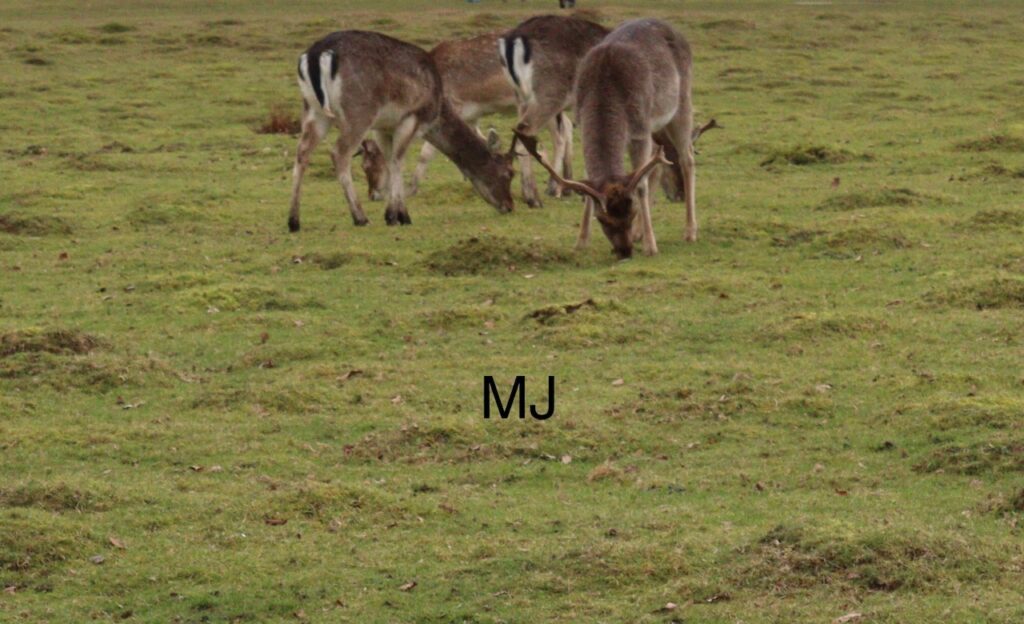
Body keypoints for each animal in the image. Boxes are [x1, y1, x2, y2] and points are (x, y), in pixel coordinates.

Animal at [288, 30, 514, 232]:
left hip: (314, 111)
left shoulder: (383, 126)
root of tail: (316, 54)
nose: (509, 206)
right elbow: (398, 160)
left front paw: (393, 214)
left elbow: (390, 161)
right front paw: (400, 215)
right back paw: (360, 217)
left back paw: (294, 221)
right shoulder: (411, 117)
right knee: (339, 153)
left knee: (302, 152)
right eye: (508, 174)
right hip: (358, 113)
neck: (438, 106)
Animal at [406, 32, 570, 207]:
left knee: (557, 136)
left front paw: (411, 190)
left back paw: (552, 189)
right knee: (562, 131)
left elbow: (426, 152)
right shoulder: (470, 117)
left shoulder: (452, 106)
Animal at [498, 15, 609, 205]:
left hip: (522, 97)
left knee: (543, 136)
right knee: (526, 133)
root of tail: (514, 38)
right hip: (549, 95)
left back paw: (550, 189)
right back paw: (534, 198)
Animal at [515, 19, 703, 259]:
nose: (625, 251)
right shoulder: (582, 122)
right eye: (602, 219)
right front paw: (581, 241)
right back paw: (641, 233)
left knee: (687, 158)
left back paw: (689, 231)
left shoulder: (639, 130)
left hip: (682, 102)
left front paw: (651, 247)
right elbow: (589, 184)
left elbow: (640, 185)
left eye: (631, 212)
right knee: (657, 164)